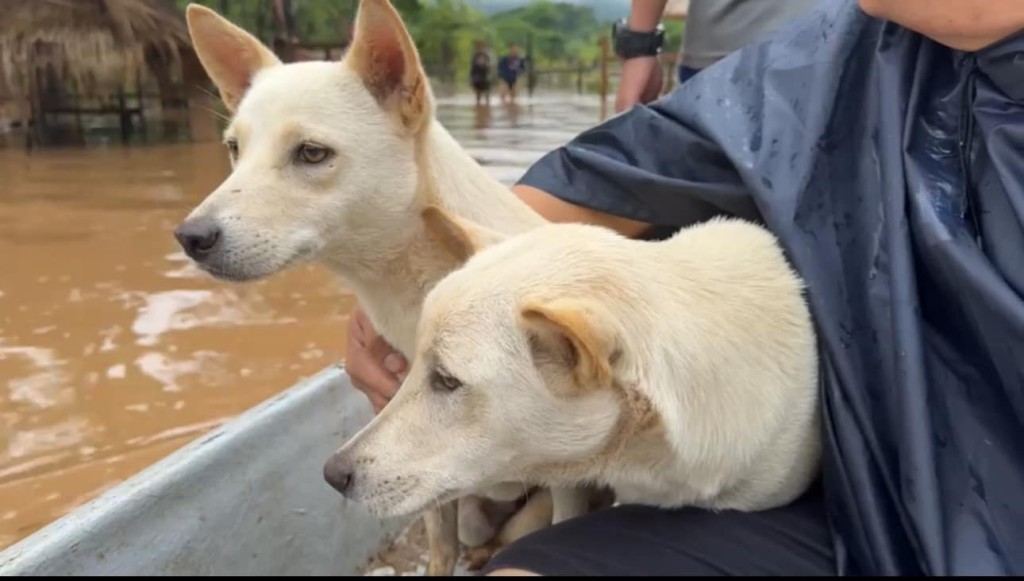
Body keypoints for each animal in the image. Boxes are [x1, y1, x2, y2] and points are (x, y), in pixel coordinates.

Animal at [177, 0, 593, 573]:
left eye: (311, 153)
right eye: (234, 149)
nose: (190, 237)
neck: (409, 284)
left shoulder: (570, 477)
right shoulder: (418, 458)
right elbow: (439, 546)